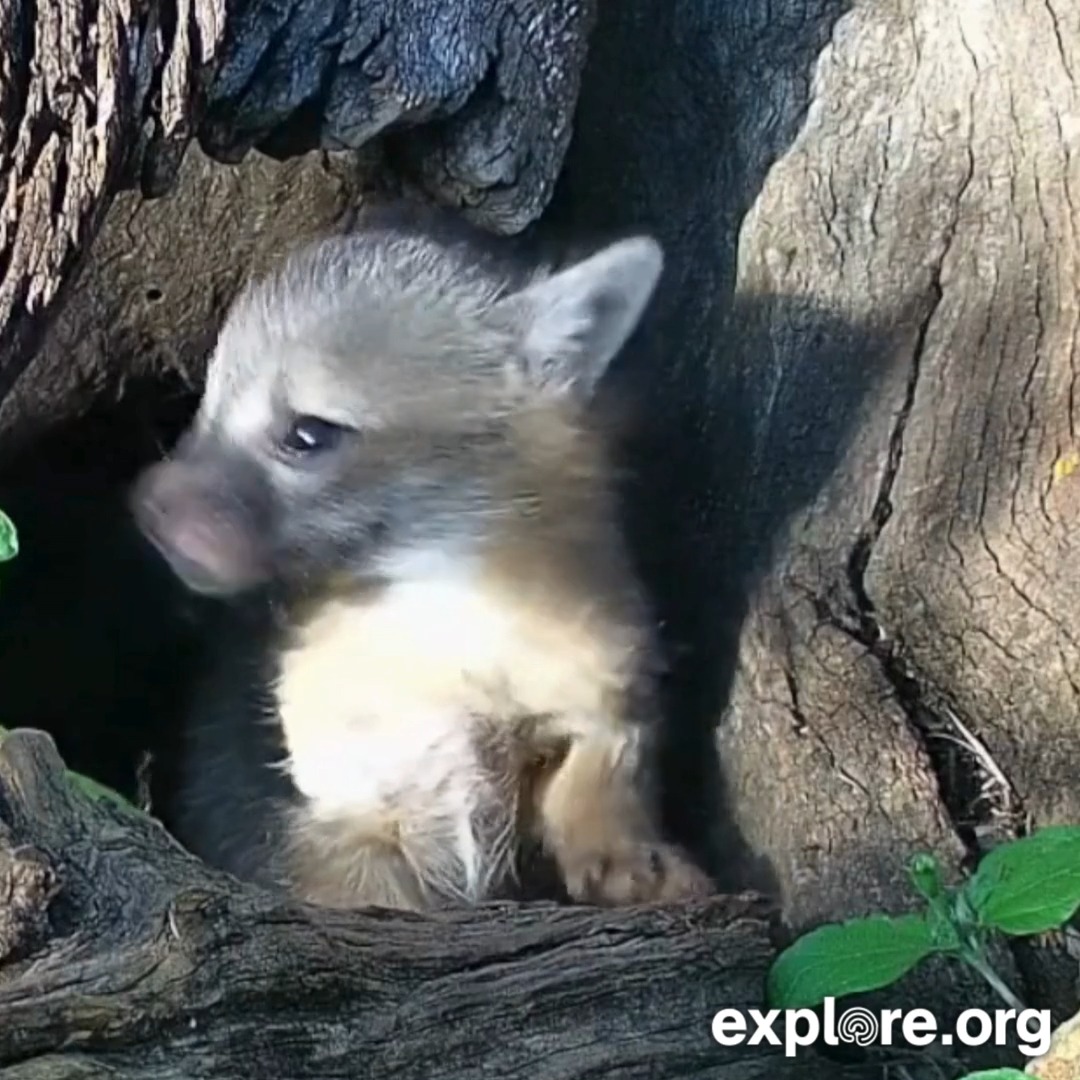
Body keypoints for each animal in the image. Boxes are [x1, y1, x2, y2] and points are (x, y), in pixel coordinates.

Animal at [131, 202, 713, 911]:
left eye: (307, 434)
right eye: (206, 403)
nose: (149, 506)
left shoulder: (602, 690)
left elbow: (605, 769)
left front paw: (630, 860)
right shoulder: (351, 818)